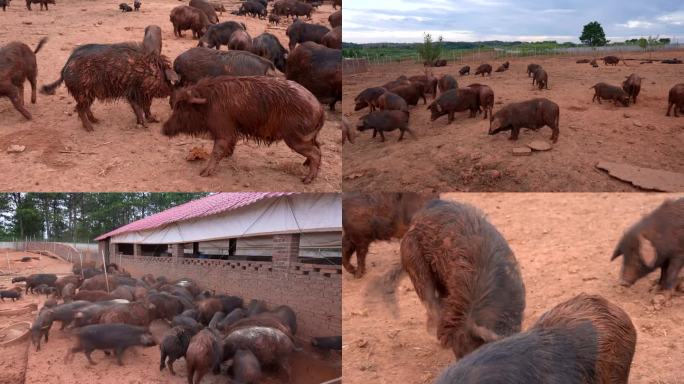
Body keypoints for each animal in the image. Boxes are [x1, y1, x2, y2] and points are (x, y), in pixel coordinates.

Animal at [39, 43, 179, 131]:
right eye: (169, 81)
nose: (171, 91)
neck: (148, 71)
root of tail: (65, 67)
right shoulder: (133, 91)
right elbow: (139, 107)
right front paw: (144, 125)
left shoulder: (142, 93)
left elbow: (146, 107)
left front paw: (155, 120)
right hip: (83, 92)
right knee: (79, 108)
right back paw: (90, 129)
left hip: (89, 93)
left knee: (85, 108)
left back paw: (97, 121)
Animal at [165, 76, 326, 184]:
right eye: (176, 106)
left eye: (183, 108)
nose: (164, 129)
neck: (209, 103)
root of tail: (319, 107)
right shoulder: (232, 130)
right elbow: (229, 145)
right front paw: (227, 156)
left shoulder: (223, 128)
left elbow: (217, 150)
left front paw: (203, 174)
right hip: (308, 136)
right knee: (317, 147)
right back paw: (305, 165)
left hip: (296, 137)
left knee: (316, 152)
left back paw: (306, 180)